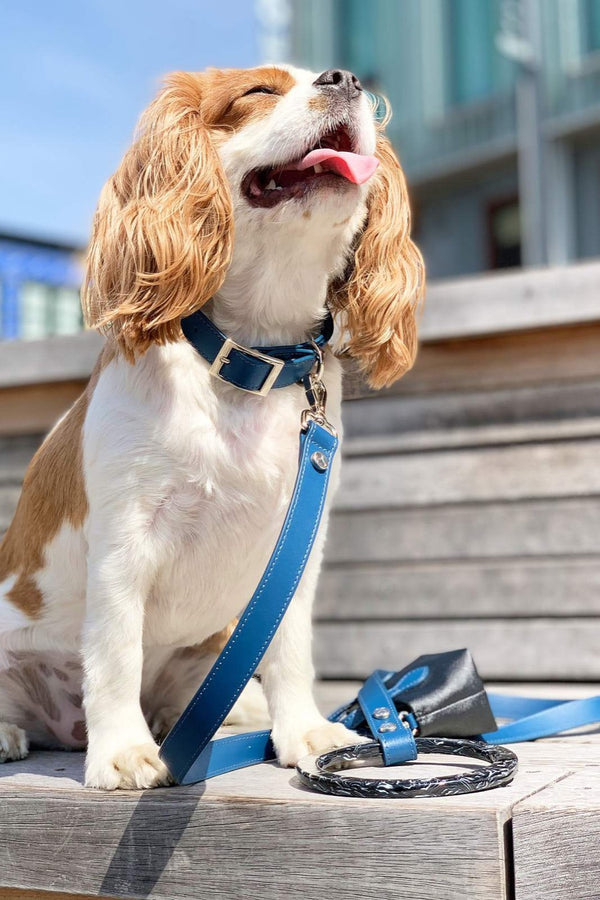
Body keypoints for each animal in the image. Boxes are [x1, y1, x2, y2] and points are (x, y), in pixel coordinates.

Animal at [0, 63, 422, 788]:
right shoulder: (124, 537)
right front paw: (122, 752)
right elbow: (114, 648)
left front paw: (305, 730)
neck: (251, 359)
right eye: (258, 93)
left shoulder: (297, 546)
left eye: (356, 89)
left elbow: (290, 648)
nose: (345, 77)